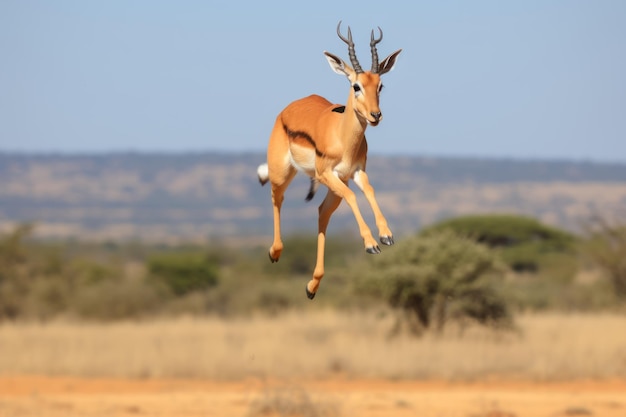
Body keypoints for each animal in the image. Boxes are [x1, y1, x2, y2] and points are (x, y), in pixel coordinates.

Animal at [258, 21, 400, 298]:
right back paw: (274, 252)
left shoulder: (355, 172)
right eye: (356, 86)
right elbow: (354, 196)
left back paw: (312, 286)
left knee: (322, 212)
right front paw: (371, 244)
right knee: (276, 197)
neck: (342, 136)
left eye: (380, 85)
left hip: (334, 185)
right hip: (283, 172)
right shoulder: (327, 174)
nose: (375, 115)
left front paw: (386, 235)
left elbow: (368, 191)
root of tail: (288, 109)